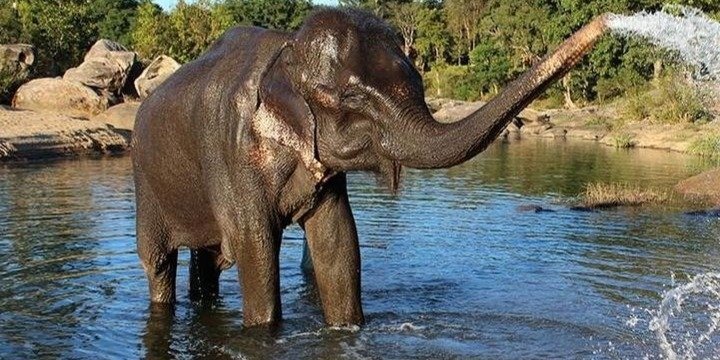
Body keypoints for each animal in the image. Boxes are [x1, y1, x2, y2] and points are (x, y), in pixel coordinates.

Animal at [132, 7, 612, 328]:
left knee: (208, 258)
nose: (607, 21)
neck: (286, 50)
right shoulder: (233, 153)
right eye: (352, 99)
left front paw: (347, 329)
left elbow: (338, 242)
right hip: (147, 184)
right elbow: (256, 246)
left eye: (419, 83)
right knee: (158, 262)